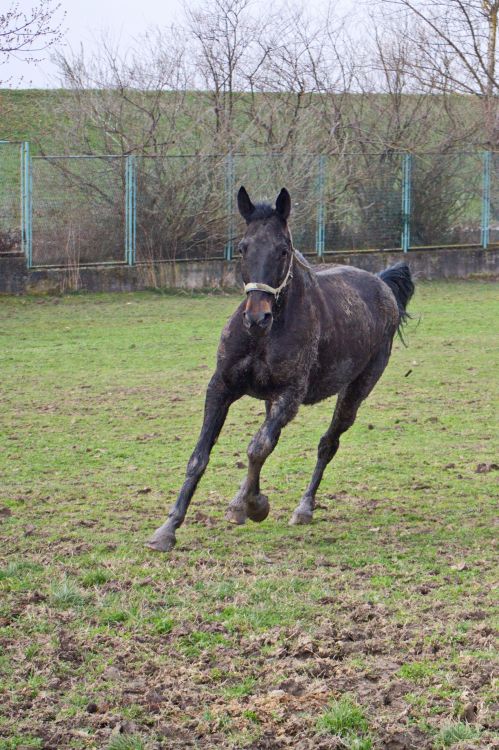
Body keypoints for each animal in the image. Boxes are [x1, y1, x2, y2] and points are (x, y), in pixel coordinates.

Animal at [146, 188, 416, 552]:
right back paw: (239, 502)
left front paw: (256, 505)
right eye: (242, 247)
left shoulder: (290, 395)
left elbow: (258, 448)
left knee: (326, 444)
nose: (256, 317)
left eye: (283, 250)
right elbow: (201, 456)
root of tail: (383, 285)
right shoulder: (221, 387)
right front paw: (168, 528)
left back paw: (302, 507)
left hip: (356, 389)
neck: (265, 336)